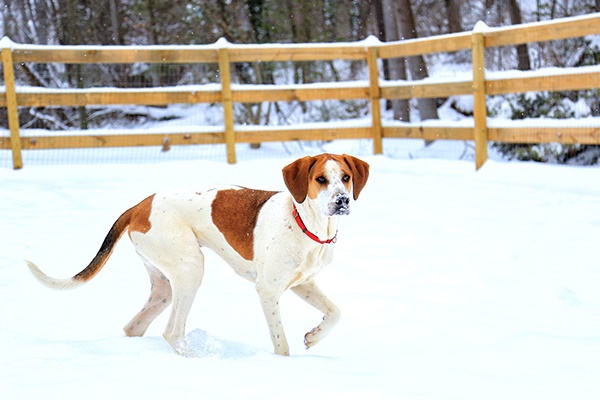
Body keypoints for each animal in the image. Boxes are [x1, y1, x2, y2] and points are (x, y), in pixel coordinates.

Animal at [25, 153, 368, 356]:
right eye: (320, 179)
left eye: (346, 177)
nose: (342, 201)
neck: (306, 223)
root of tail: (139, 205)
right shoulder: (268, 290)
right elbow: (281, 343)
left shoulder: (303, 283)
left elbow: (336, 313)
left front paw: (314, 336)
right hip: (191, 269)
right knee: (172, 332)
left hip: (164, 286)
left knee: (134, 327)